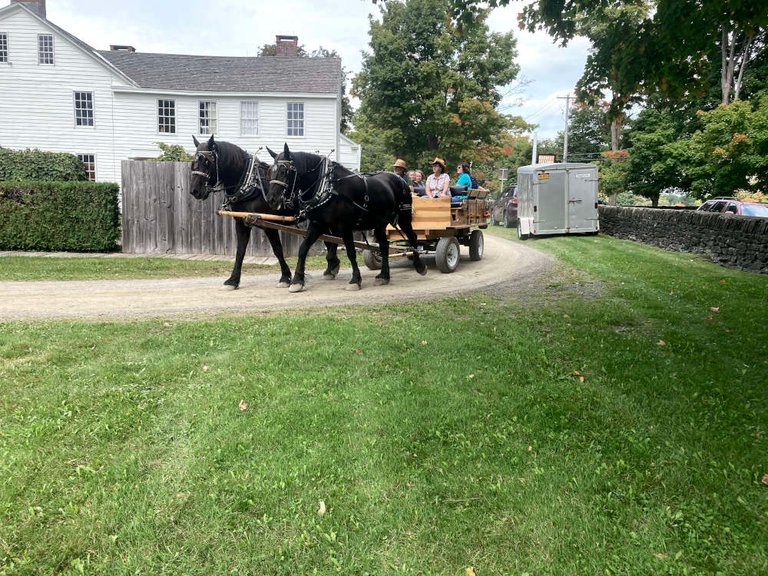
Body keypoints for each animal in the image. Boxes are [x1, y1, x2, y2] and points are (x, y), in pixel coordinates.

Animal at [188, 134, 340, 288]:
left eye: (207, 161)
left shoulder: (269, 225)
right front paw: (233, 280)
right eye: (193, 163)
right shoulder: (241, 223)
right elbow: (240, 251)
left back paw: (332, 265)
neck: (251, 184)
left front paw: (285, 277)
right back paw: (331, 266)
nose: (194, 190)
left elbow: (277, 250)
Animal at [268, 142, 428, 290]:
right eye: (270, 170)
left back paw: (419, 266)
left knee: (412, 237)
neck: (328, 187)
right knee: (384, 246)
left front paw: (355, 280)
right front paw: (297, 281)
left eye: (284, 170)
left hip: (404, 217)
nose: (271, 199)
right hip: (379, 223)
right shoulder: (317, 225)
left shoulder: (345, 227)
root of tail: (400, 179)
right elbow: (303, 249)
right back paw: (384, 276)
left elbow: (351, 252)